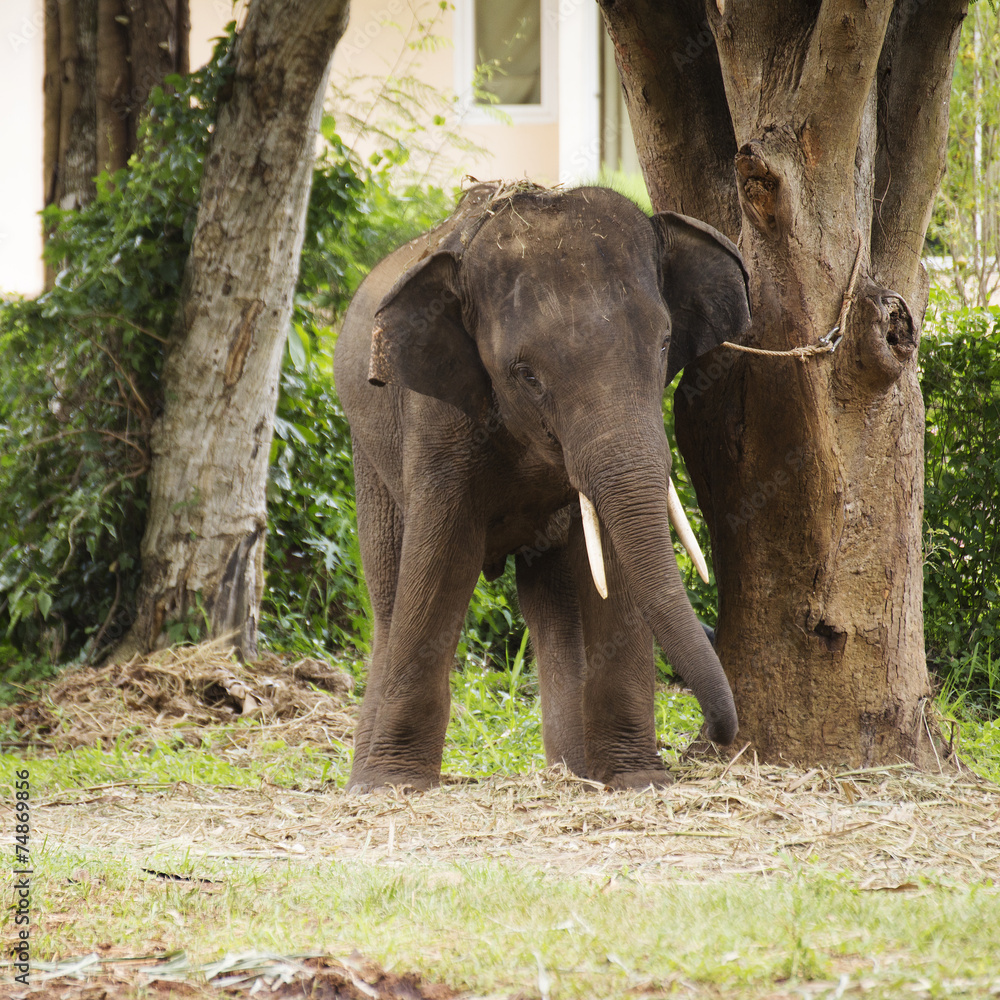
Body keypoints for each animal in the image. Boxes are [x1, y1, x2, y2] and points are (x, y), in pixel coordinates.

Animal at [334, 182, 751, 791]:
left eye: (665, 343)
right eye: (526, 375)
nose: (721, 737)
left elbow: (613, 569)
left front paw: (635, 780)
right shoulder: (436, 421)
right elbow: (440, 563)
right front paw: (393, 785)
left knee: (556, 607)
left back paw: (572, 772)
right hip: (367, 450)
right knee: (390, 593)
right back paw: (365, 778)